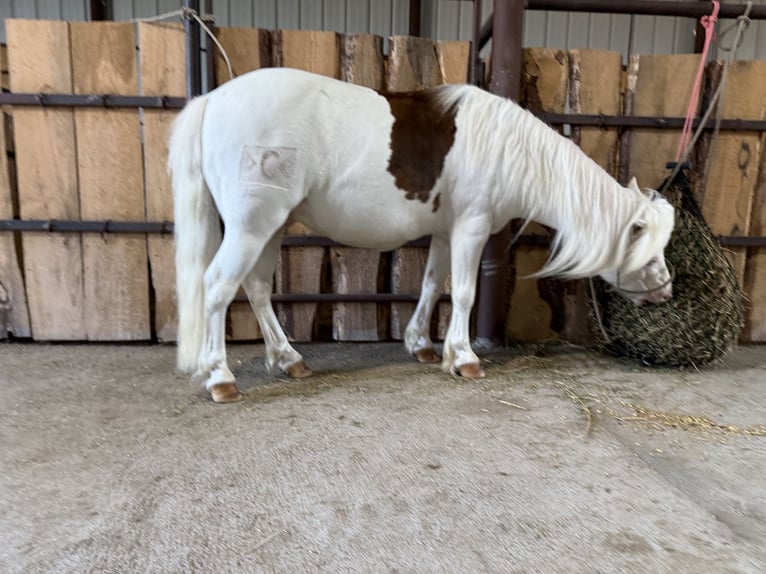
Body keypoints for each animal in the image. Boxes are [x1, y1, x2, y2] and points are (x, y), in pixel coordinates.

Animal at [168, 67, 675, 403]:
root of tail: (212, 100)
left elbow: (433, 285)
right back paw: (220, 378)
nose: (665, 292)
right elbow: (465, 292)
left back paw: (290, 359)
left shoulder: (447, 232)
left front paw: (422, 346)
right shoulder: (471, 227)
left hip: (268, 225)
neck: (510, 151)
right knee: (218, 286)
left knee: (255, 287)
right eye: (648, 248)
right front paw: (464, 358)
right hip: (252, 225)